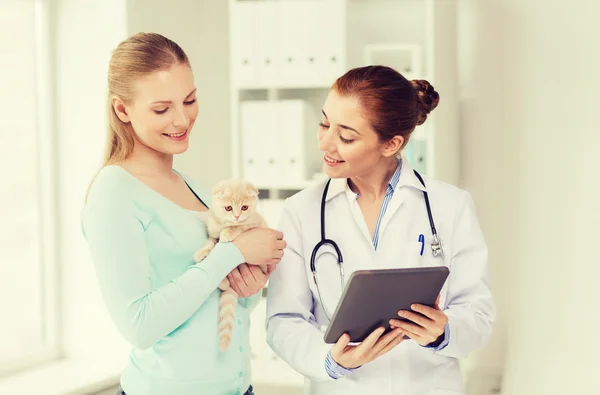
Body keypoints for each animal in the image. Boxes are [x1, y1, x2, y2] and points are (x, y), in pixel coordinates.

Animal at [192, 181, 268, 352]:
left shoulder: (254, 224)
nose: (237, 216)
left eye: (244, 207)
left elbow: (238, 227)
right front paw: (201, 253)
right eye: (228, 208)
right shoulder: (213, 234)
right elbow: (210, 243)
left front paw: (228, 232)